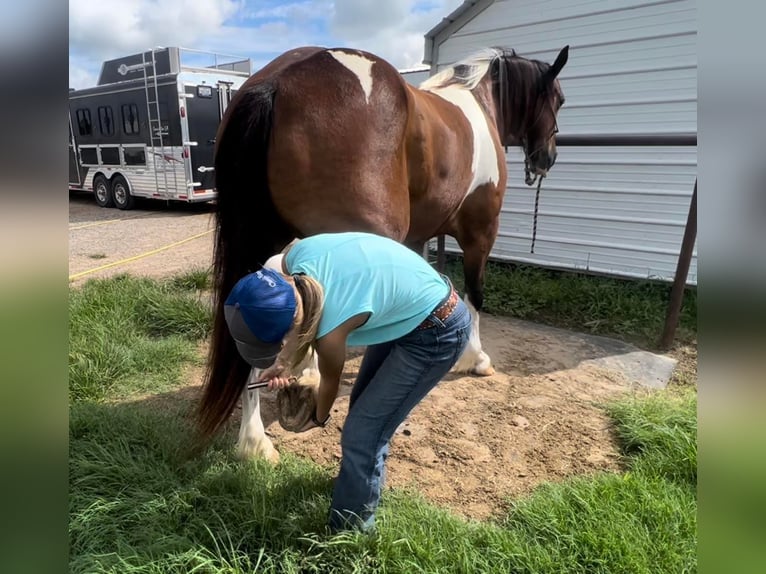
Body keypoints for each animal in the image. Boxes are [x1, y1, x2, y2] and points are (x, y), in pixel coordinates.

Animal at [198, 44, 568, 464]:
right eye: (559, 99)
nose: (547, 158)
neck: (477, 99)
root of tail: (276, 81)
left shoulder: (417, 239)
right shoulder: (481, 232)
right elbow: (474, 296)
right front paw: (475, 359)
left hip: (269, 244)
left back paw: (255, 440)